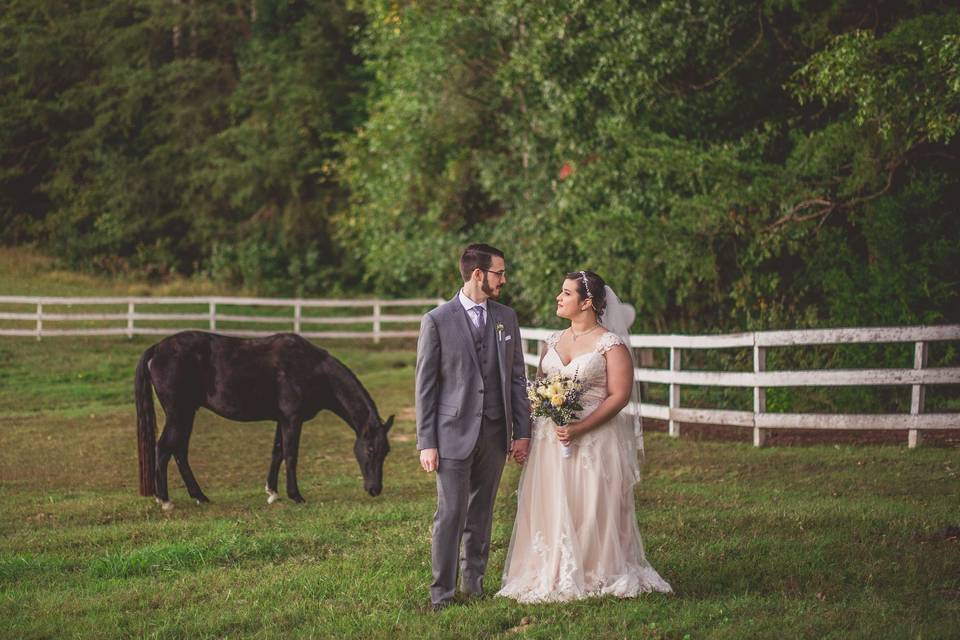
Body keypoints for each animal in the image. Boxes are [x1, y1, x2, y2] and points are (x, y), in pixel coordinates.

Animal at [133, 330, 392, 510]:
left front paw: (273, 493)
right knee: (164, 449)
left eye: (385, 451)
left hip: (187, 413)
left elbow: (277, 452)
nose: (375, 489)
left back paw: (200, 496)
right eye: (370, 449)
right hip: (179, 413)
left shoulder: (282, 419)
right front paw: (295, 495)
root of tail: (157, 348)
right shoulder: (292, 419)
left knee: (179, 451)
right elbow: (291, 454)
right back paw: (165, 500)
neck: (312, 368)